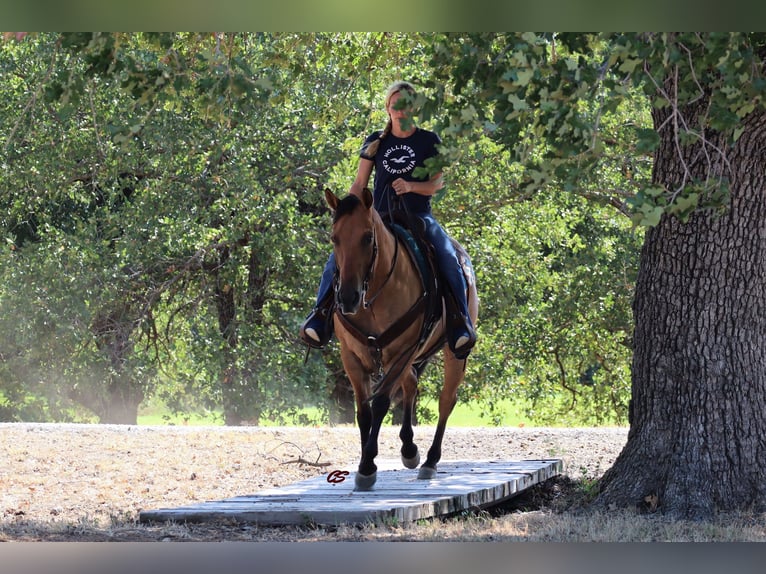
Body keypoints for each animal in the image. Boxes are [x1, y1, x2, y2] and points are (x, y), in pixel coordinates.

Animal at [324, 186, 480, 490]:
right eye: (334, 238)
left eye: (367, 237)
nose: (347, 298)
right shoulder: (351, 357)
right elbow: (364, 411)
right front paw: (367, 460)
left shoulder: (404, 351)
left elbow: (381, 403)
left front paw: (367, 466)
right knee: (411, 384)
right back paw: (409, 449)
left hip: (452, 353)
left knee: (446, 400)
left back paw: (430, 461)